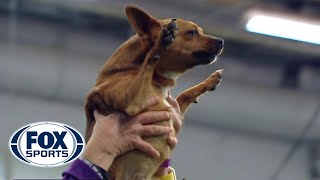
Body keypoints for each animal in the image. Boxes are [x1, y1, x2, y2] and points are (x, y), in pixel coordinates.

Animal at [85, 4, 224, 180]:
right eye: (192, 32)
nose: (222, 41)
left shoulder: (174, 110)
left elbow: (184, 95)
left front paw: (210, 81)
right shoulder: (133, 100)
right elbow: (151, 56)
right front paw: (162, 39)